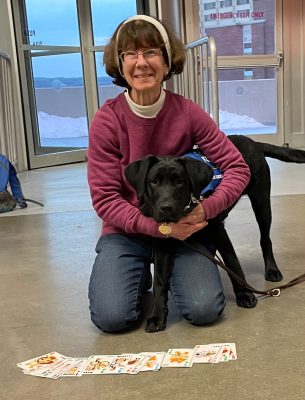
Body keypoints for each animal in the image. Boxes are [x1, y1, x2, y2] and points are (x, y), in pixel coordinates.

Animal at [124, 136, 304, 332]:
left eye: (180, 182)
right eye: (154, 181)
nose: (166, 208)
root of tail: (252, 140)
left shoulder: (218, 231)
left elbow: (233, 263)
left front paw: (245, 294)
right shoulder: (163, 242)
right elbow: (159, 281)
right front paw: (157, 316)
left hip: (261, 201)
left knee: (266, 239)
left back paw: (272, 270)